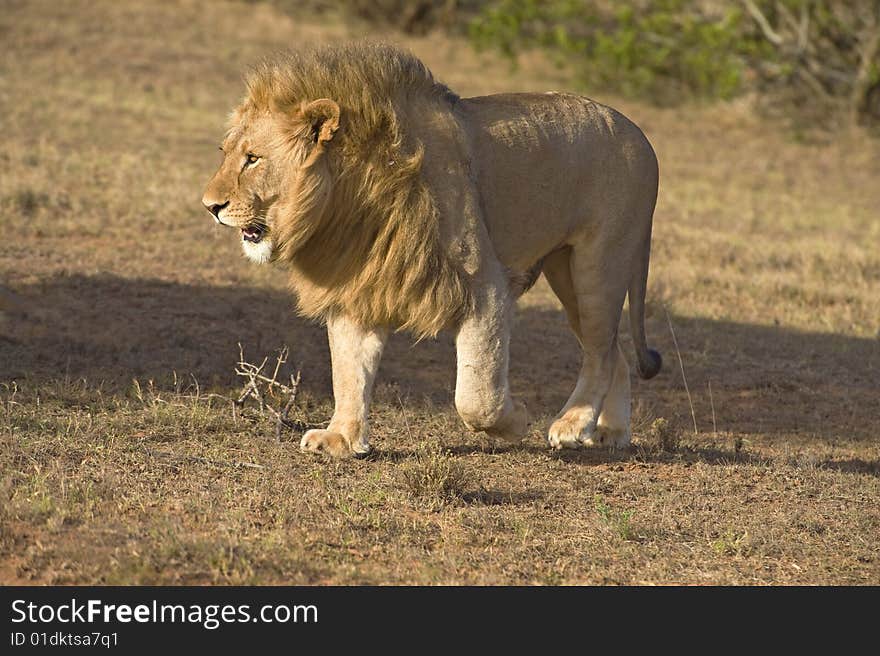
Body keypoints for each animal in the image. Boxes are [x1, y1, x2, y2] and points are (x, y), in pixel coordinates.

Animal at [205, 44, 660, 456]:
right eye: (225, 154)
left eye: (253, 159)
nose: (210, 206)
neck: (348, 201)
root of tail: (640, 134)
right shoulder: (359, 286)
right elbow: (349, 371)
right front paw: (341, 439)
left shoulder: (484, 286)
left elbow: (475, 397)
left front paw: (516, 420)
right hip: (566, 274)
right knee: (614, 351)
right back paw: (610, 432)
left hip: (599, 264)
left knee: (600, 351)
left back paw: (572, 425)